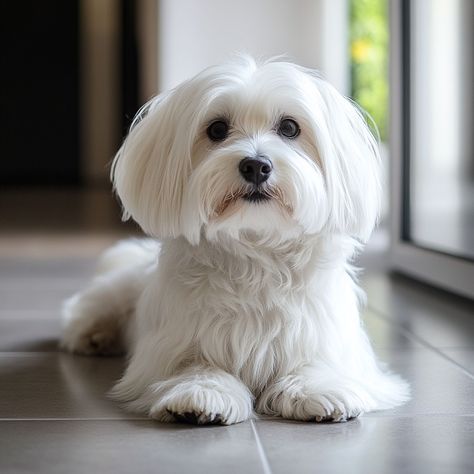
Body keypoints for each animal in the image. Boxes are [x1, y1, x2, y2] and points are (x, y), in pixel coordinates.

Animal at [61, 56, 410, 426]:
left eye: (289, 128)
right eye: (217, 130)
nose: (256, 165)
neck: (255, 247)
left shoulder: (322, 333)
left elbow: (316, 361)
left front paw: (317, 388)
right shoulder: (178, 342)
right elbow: (195, 365)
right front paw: (200, 394)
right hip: (116, 293)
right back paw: (93, 336)